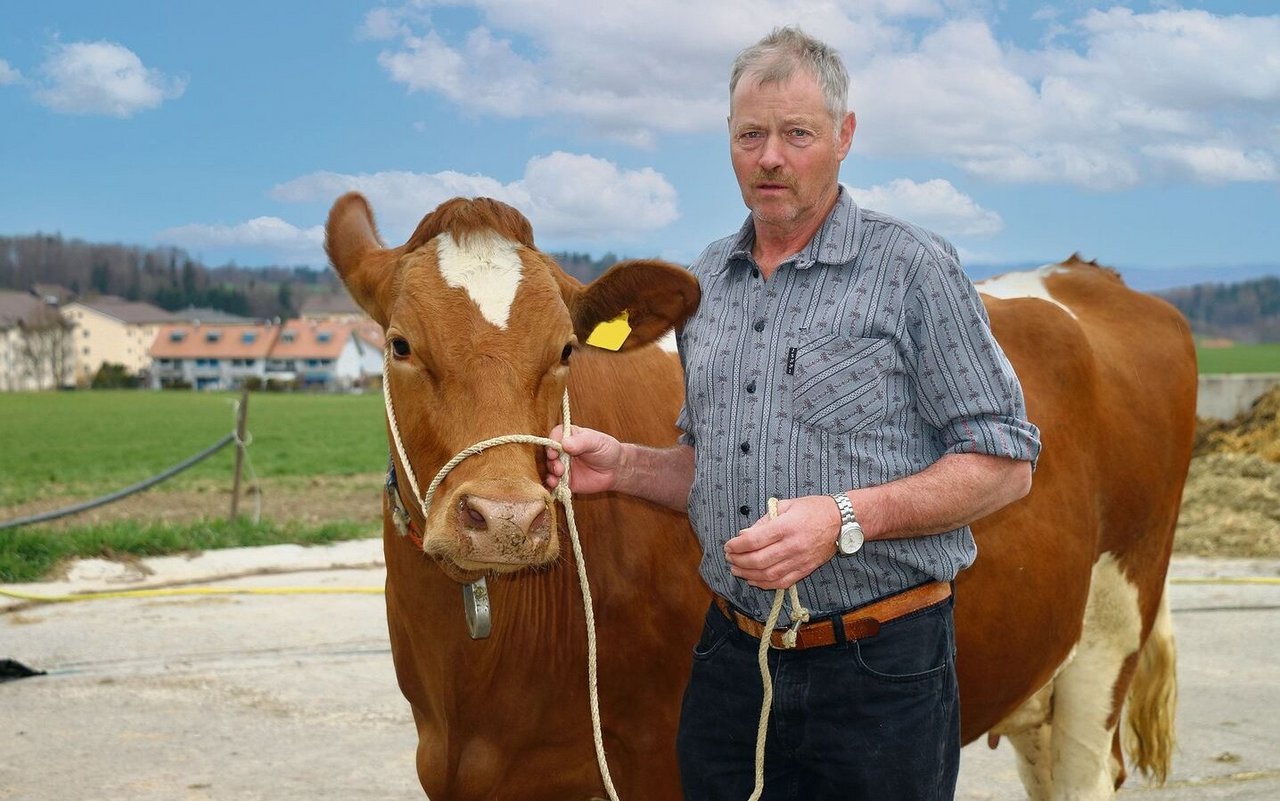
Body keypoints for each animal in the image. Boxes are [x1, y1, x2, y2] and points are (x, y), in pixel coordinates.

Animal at [327, 190, 1187, 793]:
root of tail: (1085, 274)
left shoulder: (658, 765)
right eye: (400, 344)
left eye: (566, 349)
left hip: (1109, 631)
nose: (504, 517)